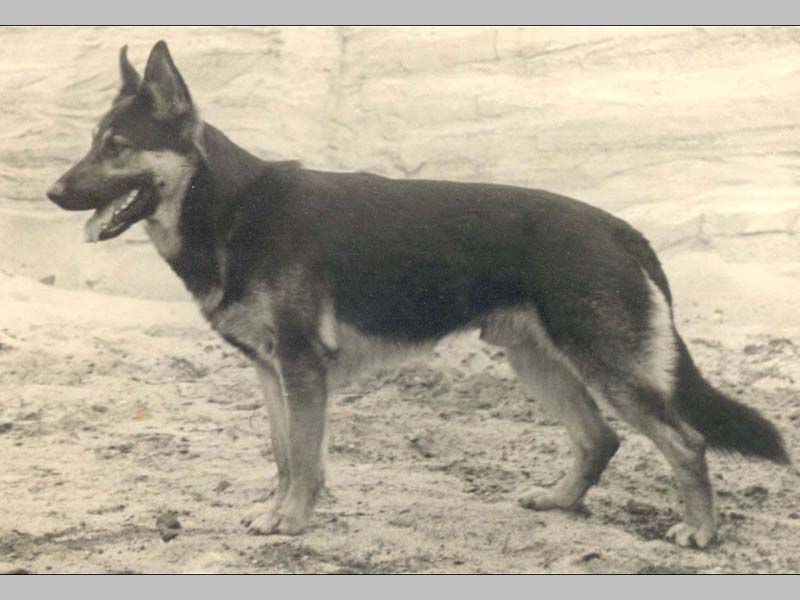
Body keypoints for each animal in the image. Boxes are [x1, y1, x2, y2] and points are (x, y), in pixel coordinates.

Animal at [47, 41, 790, 549]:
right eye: (93, 143)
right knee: (600, 439)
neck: (229, 209)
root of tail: (616, 226)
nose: (52, 193)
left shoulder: (301, 370)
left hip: (607, 367)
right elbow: (285, 456)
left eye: (116, 146)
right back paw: (560, 501)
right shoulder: (272, 372)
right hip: (537, 362)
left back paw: (701, 532)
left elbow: (304, 461)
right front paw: (279, 510)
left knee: (685, 442)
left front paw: (292, 521)